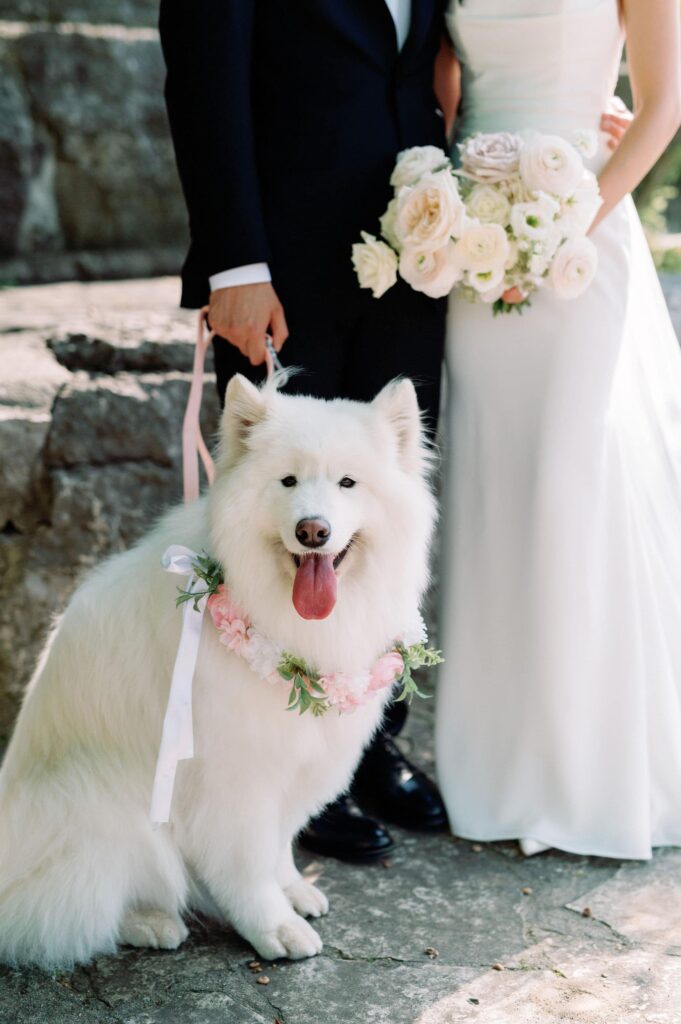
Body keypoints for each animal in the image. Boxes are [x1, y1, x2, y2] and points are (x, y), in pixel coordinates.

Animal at [0, 372, 436, 962]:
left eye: (348, 483)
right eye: (287, 481)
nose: (313, 531)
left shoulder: (292, 762)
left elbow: (278, 845)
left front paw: (293, 889)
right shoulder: (234, 778)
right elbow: (248, 866)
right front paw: (274, 928)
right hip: (96, 803)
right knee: (62, 911)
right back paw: (150, 923)